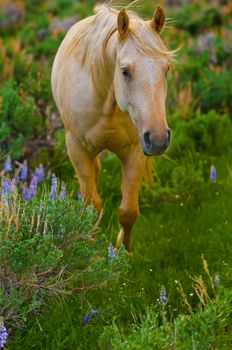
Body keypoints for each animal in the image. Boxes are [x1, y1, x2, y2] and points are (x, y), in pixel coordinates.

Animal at [50, 2, 174, 252]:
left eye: (166, 68)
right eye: (125, 71)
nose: (158, 139)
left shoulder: (135, 151)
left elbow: (128, 211)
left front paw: (123, 254)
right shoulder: (77, 150)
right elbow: (91, 208)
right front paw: (91, 253)